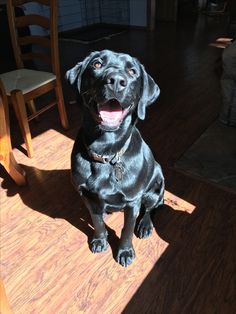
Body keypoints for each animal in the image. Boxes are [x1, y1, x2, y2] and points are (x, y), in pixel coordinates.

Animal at [66, 50, 164, 266]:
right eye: (97, 64)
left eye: (132, 71)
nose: (116, 81)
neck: (106, 152)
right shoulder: (86, 195)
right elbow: (96, 221)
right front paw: (99, 240)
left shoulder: (132, 201)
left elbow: (127, 229)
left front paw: (125, 252)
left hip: (155, 189)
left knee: (151, 209)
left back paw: (145, 226)